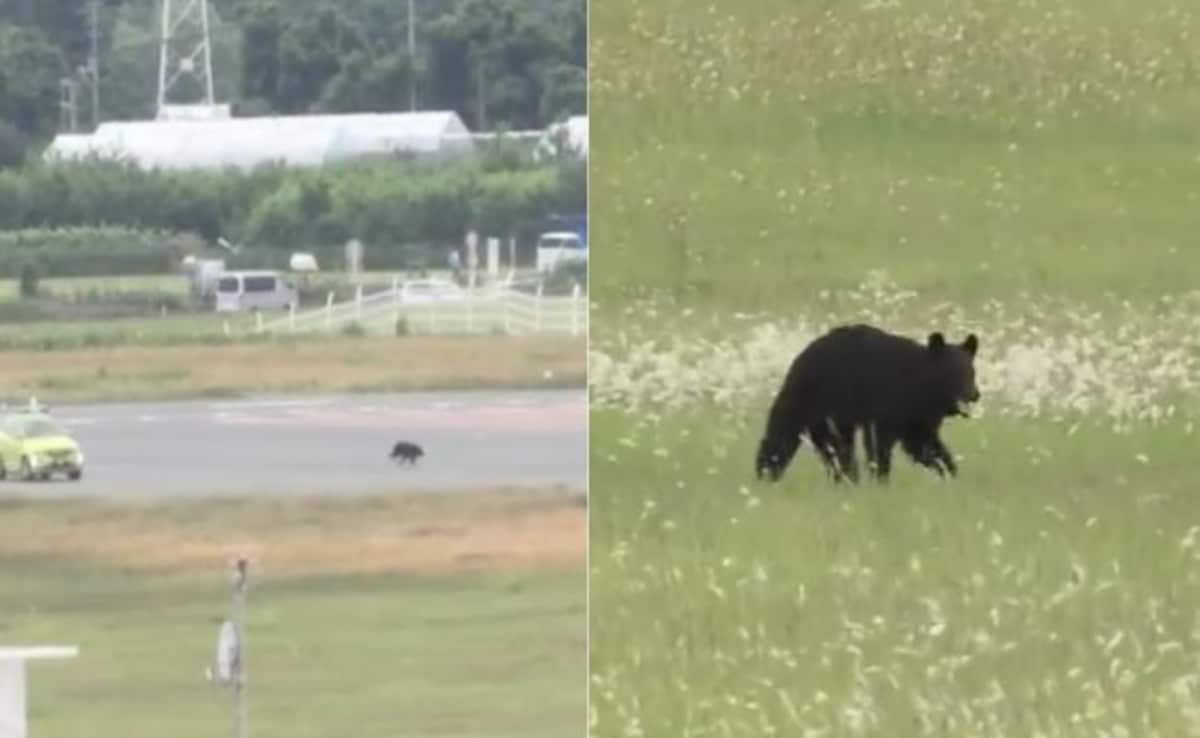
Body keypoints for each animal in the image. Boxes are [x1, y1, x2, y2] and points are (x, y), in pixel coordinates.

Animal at [755, 324, 980, 484]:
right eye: (954, 372)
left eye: (971, 372)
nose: (974, 395)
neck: (922, 385)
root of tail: (800, 358)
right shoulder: (886, 405)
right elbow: (880, 444)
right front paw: (881, 479)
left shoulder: (916, 416)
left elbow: (922, 444)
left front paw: (949, 472)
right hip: (819, 402)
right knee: (794, 435)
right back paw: (767, 471)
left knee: (832, 447)